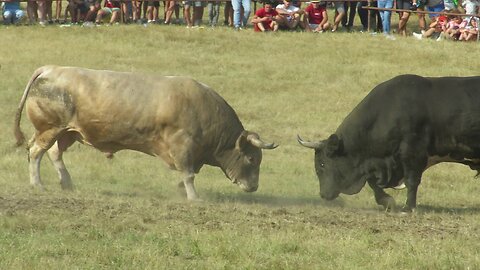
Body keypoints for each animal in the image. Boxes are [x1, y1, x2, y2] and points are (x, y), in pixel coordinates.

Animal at [13, 66, 278, 198]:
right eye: (252, 158)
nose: (253, 187)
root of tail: (50, 69)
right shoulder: (182, 147)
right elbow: (189, 175)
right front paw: (193, 197)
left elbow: (189, 174)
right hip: (50, 128)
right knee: (35, 152)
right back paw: (37, 184)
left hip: (66, 132)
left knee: (54, 153)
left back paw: (67, 183)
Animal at [298, 75, 480, 212]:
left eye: (322, 164)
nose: (323, 194)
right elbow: (372, 182)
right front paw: (387, 202)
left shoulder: (412, 154)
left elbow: (412, 181)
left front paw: (408, 208)